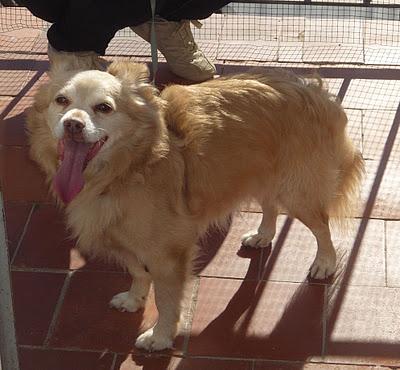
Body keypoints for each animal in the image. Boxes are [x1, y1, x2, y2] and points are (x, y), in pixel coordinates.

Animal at [26, 60, 364, 350]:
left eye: (104, 108)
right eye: (61, 101)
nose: (72, 125)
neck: (132, 165)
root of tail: (312, 89)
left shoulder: (168, 253)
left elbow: (165, 300)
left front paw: (160, 337)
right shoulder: (125, 237)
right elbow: (137, 272)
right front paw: (135, 300)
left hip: (296, 193)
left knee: (321, 225)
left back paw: (325, 262)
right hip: (259, 174)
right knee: (271, 206)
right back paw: (263, 235)